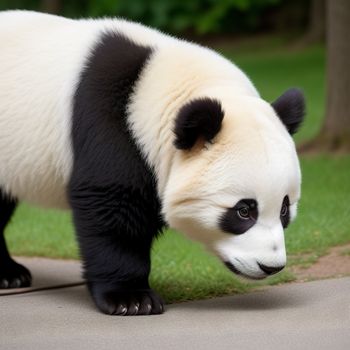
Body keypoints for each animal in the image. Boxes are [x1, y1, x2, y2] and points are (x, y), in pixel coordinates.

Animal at [0, 11, 304, 318]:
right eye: (243, 211)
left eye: (284, 209)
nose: (270, 266)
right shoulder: (111, 124)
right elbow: (113, 206)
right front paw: (130, 299)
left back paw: (9, 274)